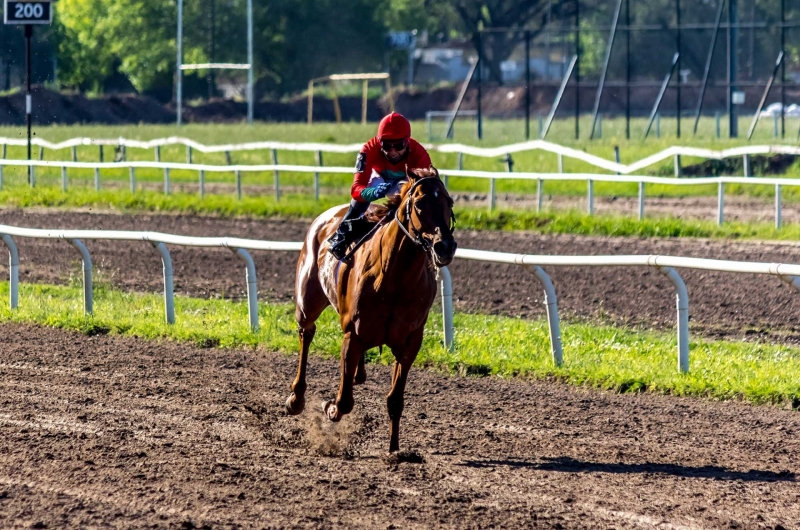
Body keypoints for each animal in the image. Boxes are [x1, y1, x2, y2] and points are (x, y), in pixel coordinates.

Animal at [290, 168, 456, 450]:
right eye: (420, 203)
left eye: (450, 202)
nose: (445, 246)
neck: (394, 277)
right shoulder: (353, 335)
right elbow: (344, 401)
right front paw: (329, 407)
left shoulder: (410, 342)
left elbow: (395, 400)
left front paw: (395, 449)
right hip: (307, 301)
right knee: (306, 333)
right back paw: (296, 398)